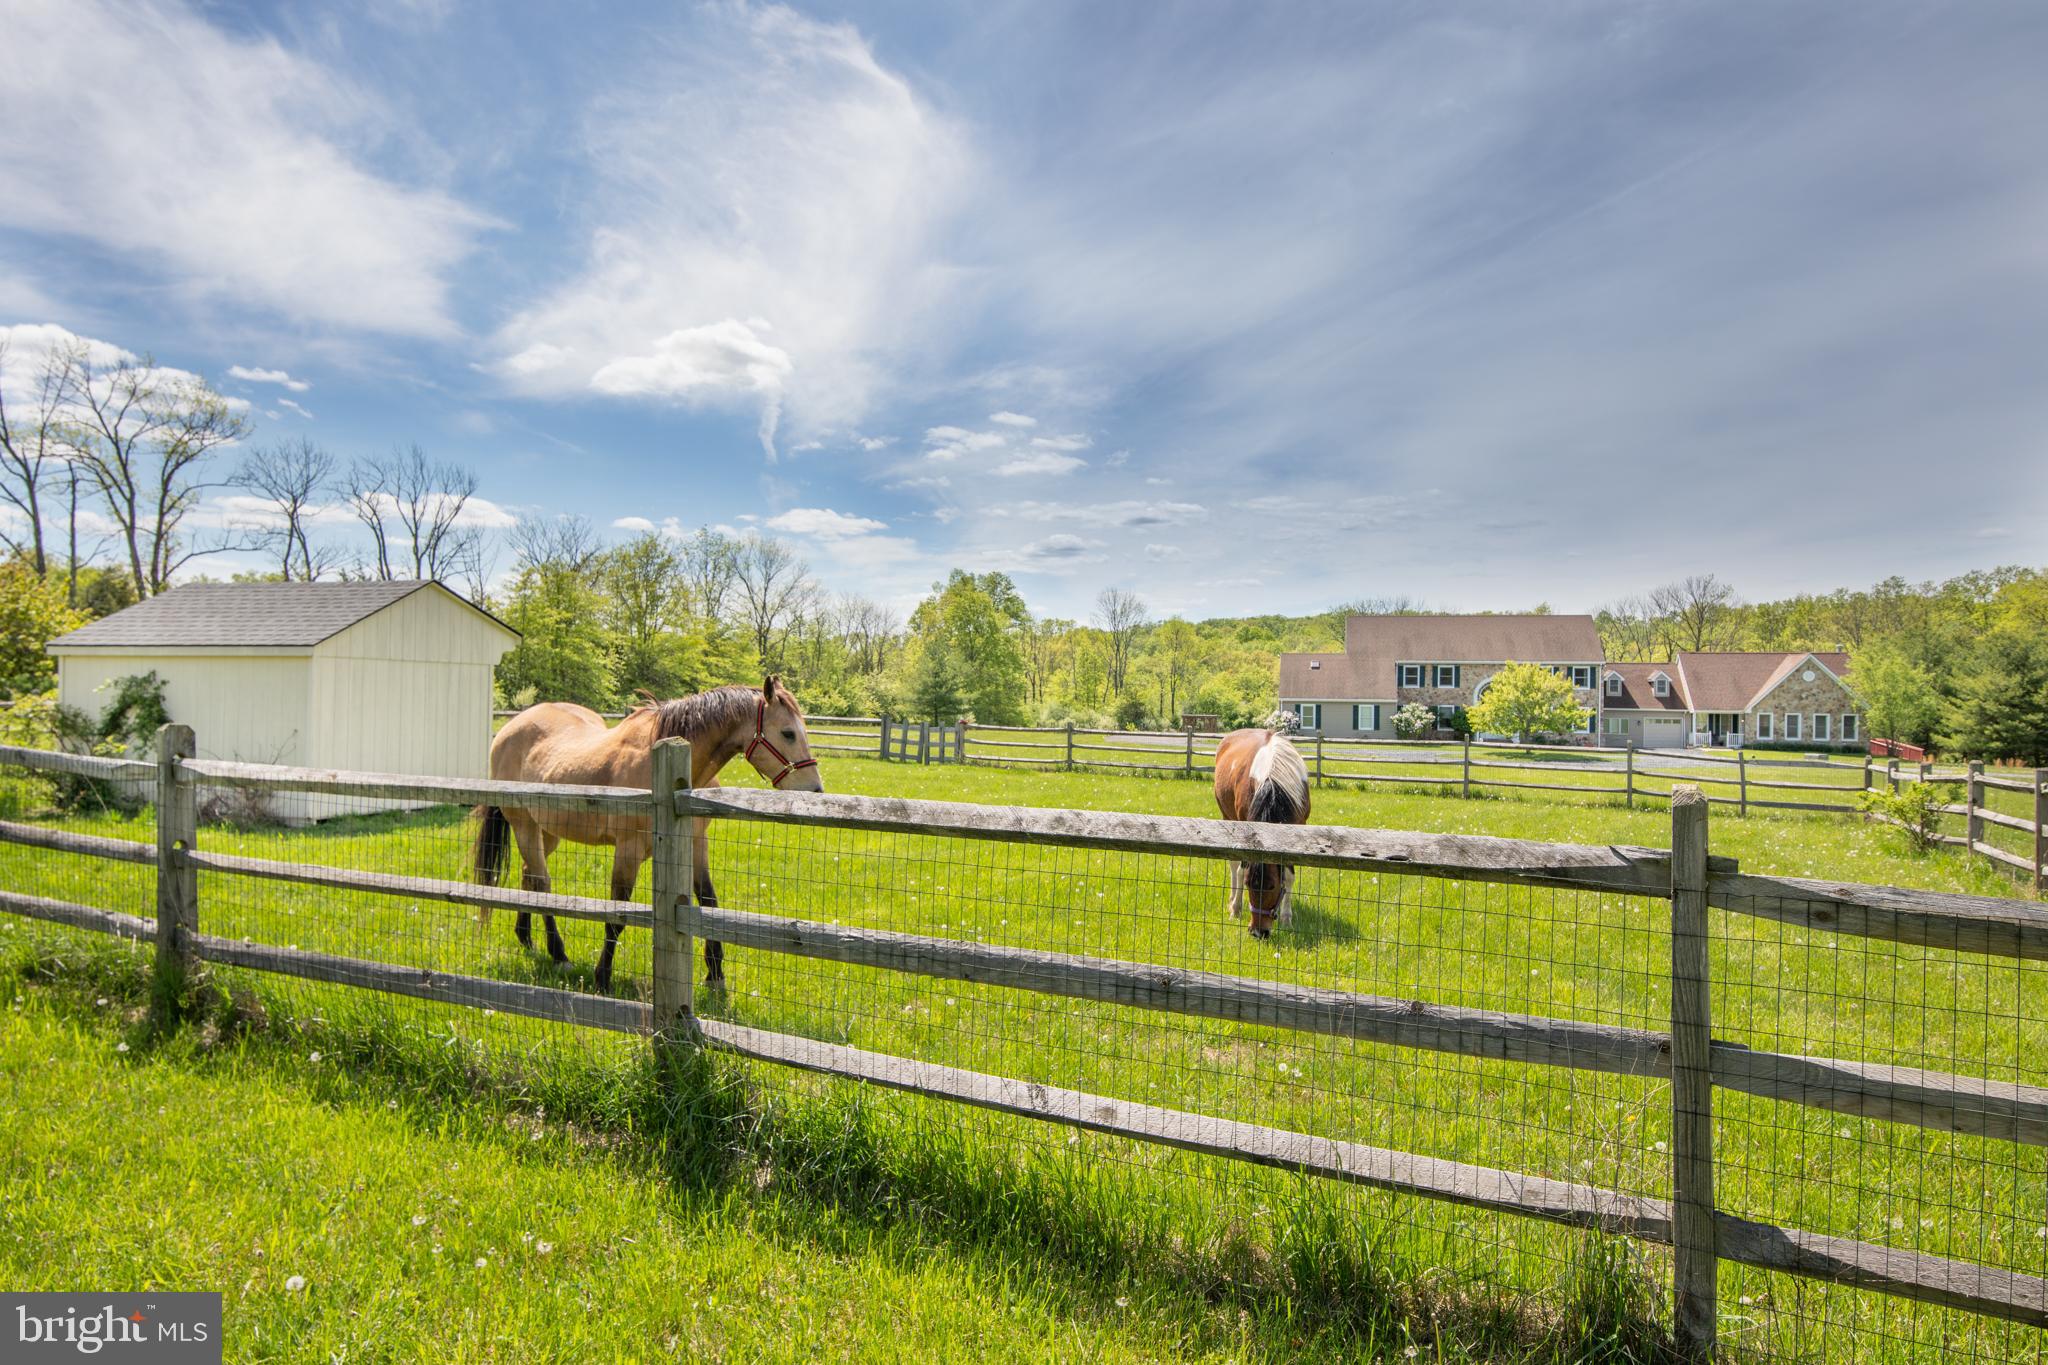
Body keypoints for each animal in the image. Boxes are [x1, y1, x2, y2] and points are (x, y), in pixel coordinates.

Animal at [472, 677, 823, 990]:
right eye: (788, 733)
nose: (815, 790)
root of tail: (509, 729)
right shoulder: (629, 850)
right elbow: (617, 914)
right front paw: (602, 978)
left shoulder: (696, 843)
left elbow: (709, 902)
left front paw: (715, 975)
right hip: (525, 827)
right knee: (542, 884)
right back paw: (559, 955)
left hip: (548, 831)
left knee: (529, 875)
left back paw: (527, 939)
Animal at [1212, 727, 1310, 939]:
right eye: (1249, 884)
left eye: (1272, 886)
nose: (1258, 931)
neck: (1272, 782)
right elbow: (1241, 870)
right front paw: (1236, 909)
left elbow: (1289, 876)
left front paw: (1286, 918)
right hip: (1227, 816)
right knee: (1233, 865)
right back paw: (1232, 899)